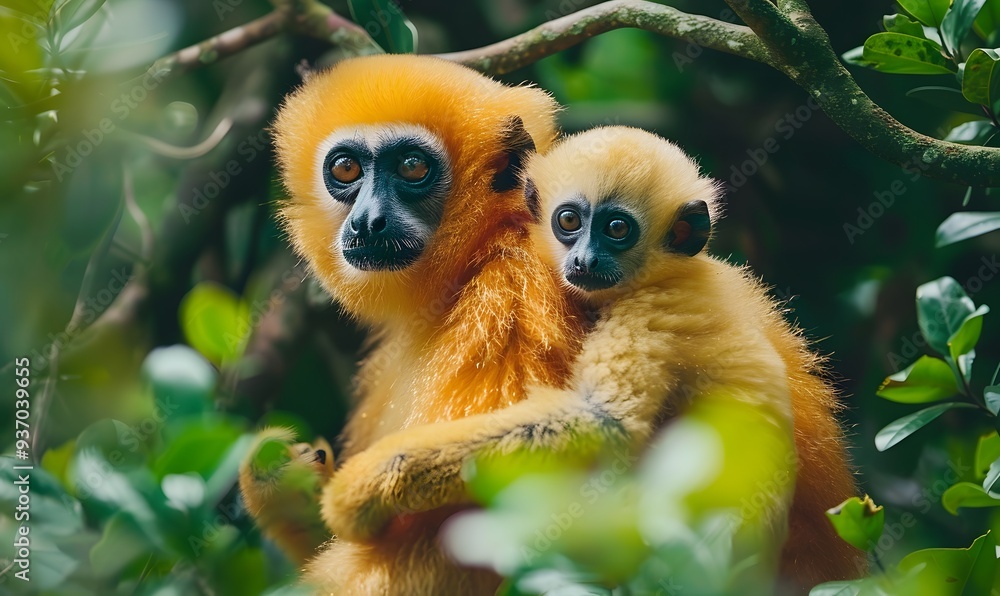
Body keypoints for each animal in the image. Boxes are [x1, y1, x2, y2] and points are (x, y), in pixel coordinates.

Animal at [238, 54, 586, 594]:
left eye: (412, 167)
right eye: (345, 168)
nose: (367, 221)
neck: (472, 261)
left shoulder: (515, 301)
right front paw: (277, 487)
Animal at [319, 126, 863, 593]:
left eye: (617, 229)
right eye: (569, 221)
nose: (583, 260)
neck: (664, 273)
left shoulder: (650, 311)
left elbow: (605, 423)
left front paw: (361, 491)